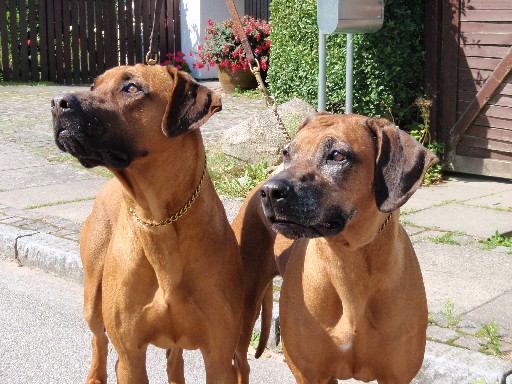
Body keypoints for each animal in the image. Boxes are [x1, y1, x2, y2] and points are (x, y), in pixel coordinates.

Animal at [51, 64, 244, 382]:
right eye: (93, 86)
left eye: (132, 88)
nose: (57, 103)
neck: (158, 219)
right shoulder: (131, 354)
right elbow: (119, 351)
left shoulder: (219, 357)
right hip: (93, 295)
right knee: (98, 338)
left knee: (173, 357)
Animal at [234, 114, 438, 384]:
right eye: (287, 153)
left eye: (337, 155)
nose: (270, 191)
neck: (348, 257)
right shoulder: (309, 373)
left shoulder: (396, 375)